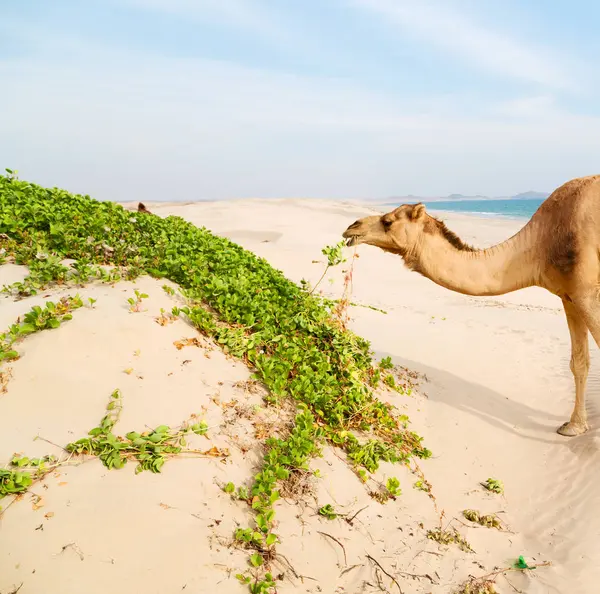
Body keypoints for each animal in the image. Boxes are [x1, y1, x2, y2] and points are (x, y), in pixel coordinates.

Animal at [342, 173, 600, 438]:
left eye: (388, 221)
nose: (352, 226)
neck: (542, 244)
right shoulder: (568, 296)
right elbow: (579, 362)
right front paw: (574, 427)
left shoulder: (587, 293)